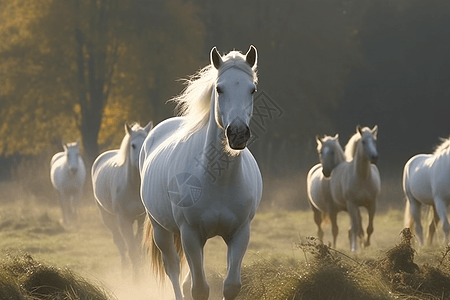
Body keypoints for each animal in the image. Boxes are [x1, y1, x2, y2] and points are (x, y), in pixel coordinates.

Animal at [91, 120, 153, 278]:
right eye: (133, 145)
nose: (142, 162)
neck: (132, 187)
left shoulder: (141, 219)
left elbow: (138, 246)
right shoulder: (124, 220)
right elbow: (130, 248)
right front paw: (135, 278)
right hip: (107, 217)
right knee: (119, 243)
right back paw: (124, 270)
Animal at [139, 45, 262, 300]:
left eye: (252, 90)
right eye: (219, 88)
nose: (237, 133)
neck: (219, 180)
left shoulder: (240, 234)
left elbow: (231, 285)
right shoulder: (190, 234)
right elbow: (199, 289)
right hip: (161, 230)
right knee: (174, 270)